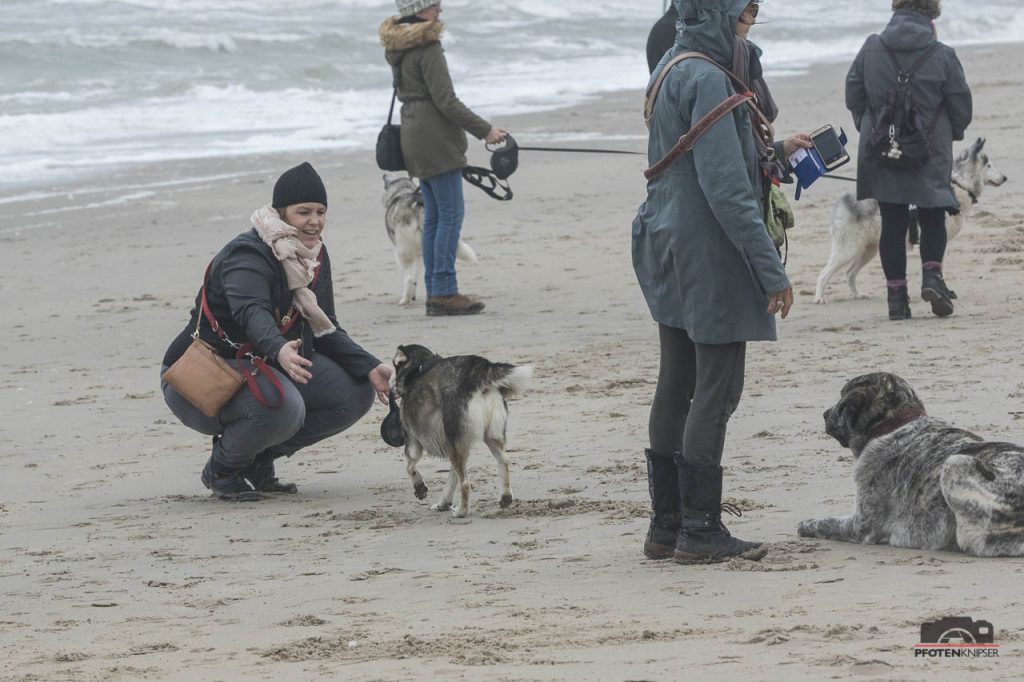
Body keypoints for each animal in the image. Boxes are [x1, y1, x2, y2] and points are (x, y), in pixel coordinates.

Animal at [381, 172, 477, 305]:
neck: (403, 190)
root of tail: (410, 204)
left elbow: (411, 278)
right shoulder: (419, 255)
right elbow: (416, 277)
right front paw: (413, 296)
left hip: (402, 253)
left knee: (408, 278)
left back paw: (404, 300)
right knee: (416, 277)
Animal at [392, 344, 532, 518]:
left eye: (395, 366)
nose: (391, 388)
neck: (420, 368)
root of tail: (479, 369)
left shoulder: (413, 441)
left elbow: (410, 466)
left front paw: (420, 487)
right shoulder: (454, 445)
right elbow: (451, 479)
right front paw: (443, 504)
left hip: (457, 444)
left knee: (465, 483)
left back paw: (461, 511)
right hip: (488, 436)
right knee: (504, 461)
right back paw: (505, 497)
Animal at [798, 372, 1024, 557]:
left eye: (842, 399)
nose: (825, 414)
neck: (897, 423)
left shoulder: (859, 525)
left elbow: (824, 523)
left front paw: (807, 524)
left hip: (954, 463)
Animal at [814, 137, 1007, 303]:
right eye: (988, 165)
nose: (1005, 178)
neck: (959, 184)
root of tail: (842, 200)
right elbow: (938, 268)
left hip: (869, 250)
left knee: (849, 273)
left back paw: (857, 295)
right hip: (848, 249)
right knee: (824, 273)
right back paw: (819, 298)